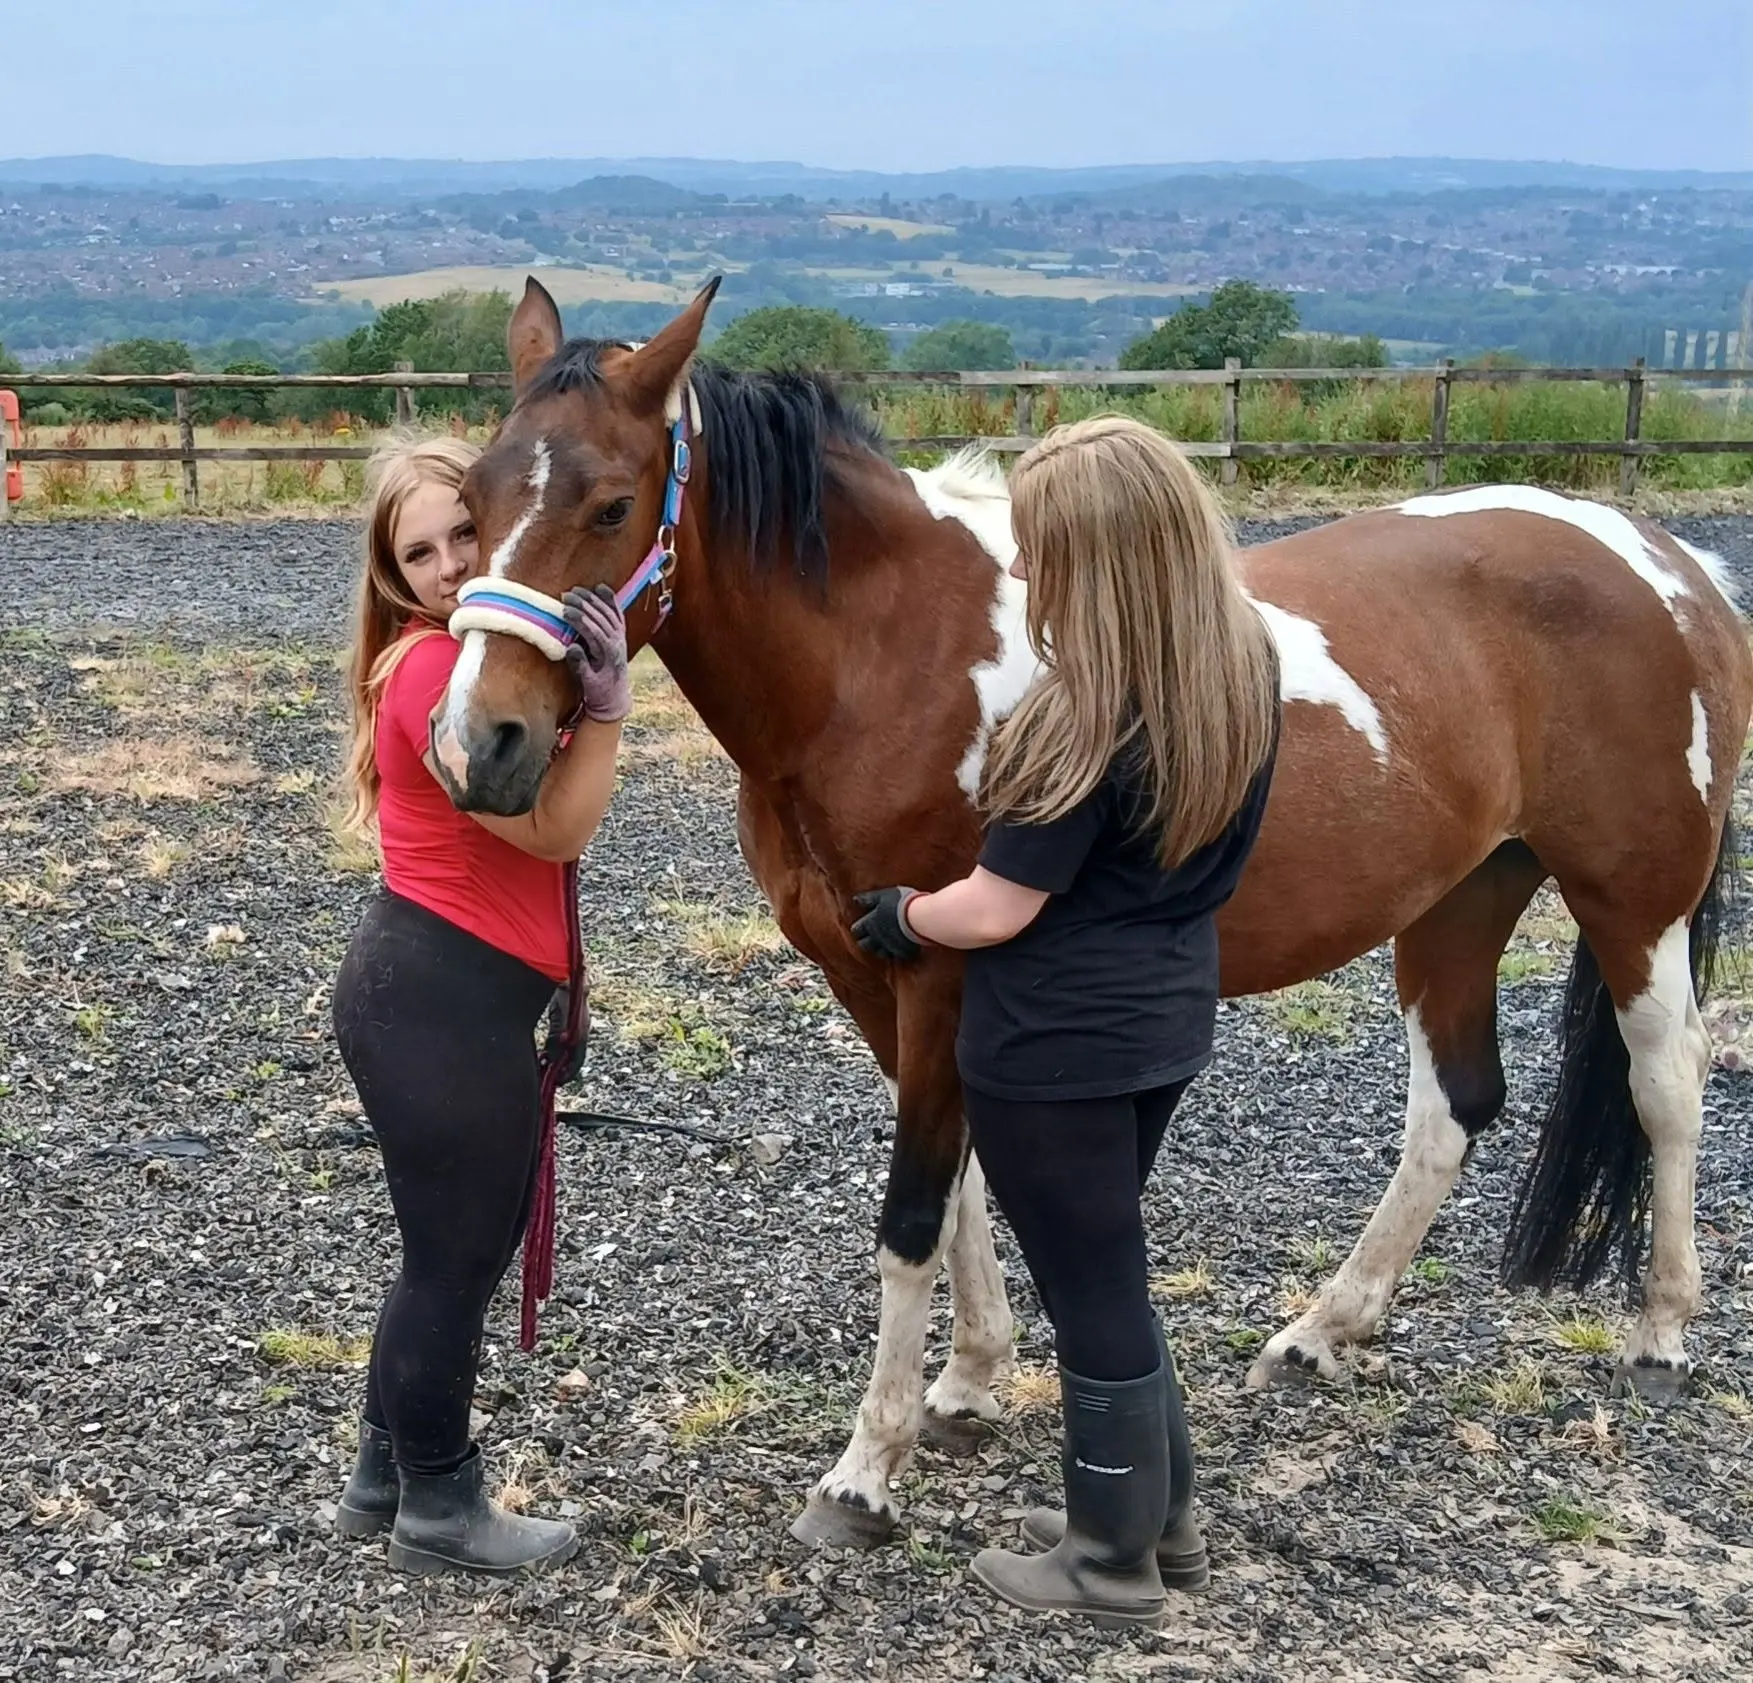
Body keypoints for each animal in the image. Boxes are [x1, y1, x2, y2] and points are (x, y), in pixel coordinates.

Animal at [427, 275, 1753, 1551]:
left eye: (610, 506)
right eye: (475, 499)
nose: (479, 745)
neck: (885, 656)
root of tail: (1668, 562)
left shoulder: (943, 971)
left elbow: (913, 1212)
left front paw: (865, 1472)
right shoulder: (869, 972)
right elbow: (960, 1186)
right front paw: (967, 1382)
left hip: (1631, 898)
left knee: (1665, 1082)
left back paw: (1658, 1335)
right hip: (1459, 900)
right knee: (1452, 1107)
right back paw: (1324, 1329)